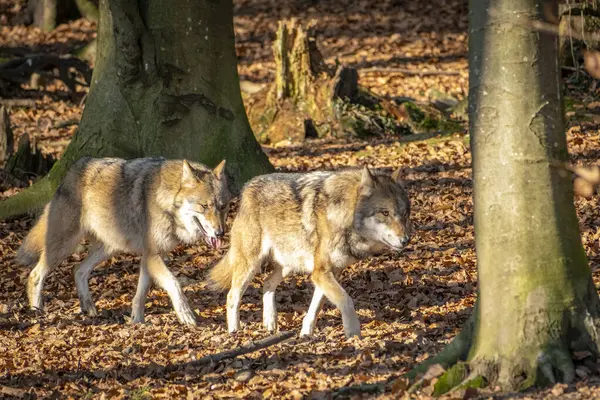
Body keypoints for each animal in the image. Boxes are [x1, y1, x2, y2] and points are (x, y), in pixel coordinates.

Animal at [17, 156, 230, 324]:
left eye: (222, 206)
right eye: (204, 206)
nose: (220, 233)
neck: (166, 202)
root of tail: (71, 171)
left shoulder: (150, 256)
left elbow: (140, 294)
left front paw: (136, 320)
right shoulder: (152, 254)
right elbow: (174, 283)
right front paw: (186, 315)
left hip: (109, 248)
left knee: (77, 270)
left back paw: (90, 309)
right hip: (64, 246)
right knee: (35, 274)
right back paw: (37, 312)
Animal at [209, 166, 410, 338]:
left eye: (405, 214)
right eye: (385, 213)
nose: (406, 240)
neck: (344, 215)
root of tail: (247, 188)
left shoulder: (327, 272)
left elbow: (316, 307)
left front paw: (306, 333)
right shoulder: (321, 273)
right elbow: (346, 301)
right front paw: (353, 334)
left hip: (289, 266)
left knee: (267, 283)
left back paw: (270, 323)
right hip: (251, 264)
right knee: (232, 295)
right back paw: (235, 331)